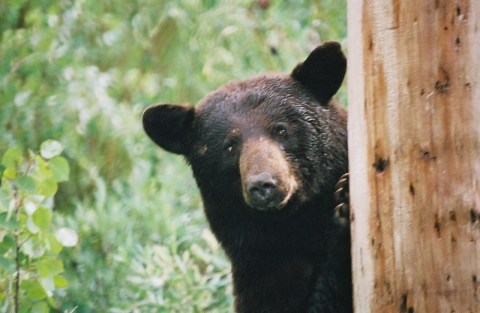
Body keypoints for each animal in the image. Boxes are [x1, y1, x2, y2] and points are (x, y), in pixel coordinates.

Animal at [142, 42, 352, 312]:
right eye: (229, 146)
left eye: (281, 130)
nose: (263, 185)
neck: (293, 227)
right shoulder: (259, 268)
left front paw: (345, 197)